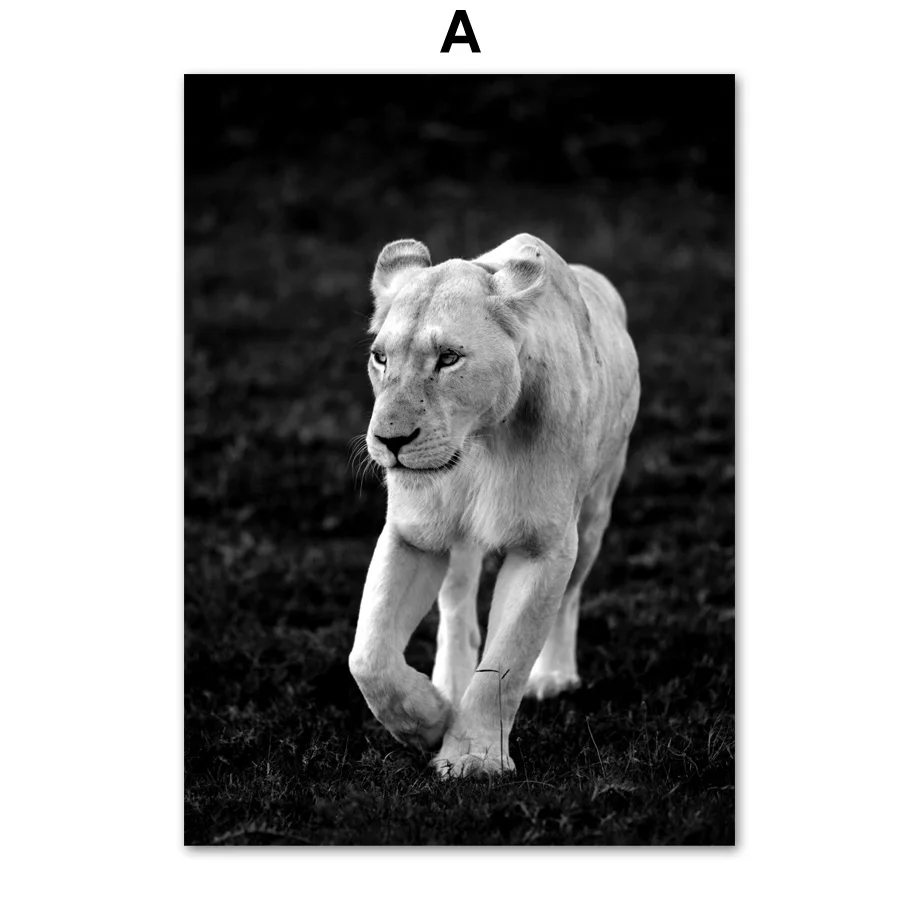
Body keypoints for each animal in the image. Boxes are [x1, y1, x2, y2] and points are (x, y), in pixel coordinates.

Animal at [348, 233, 640, 778]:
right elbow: (369, 657)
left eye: (448, 358)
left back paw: (553, 676)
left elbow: (505, 663)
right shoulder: (411, 533)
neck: (478, 445)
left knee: (570, 597)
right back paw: (447, 685)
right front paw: (429, 722)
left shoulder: (544, 547)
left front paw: (472, 757)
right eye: (380, 358)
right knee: (457, 602)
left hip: (594, 513)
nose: (390, 441)